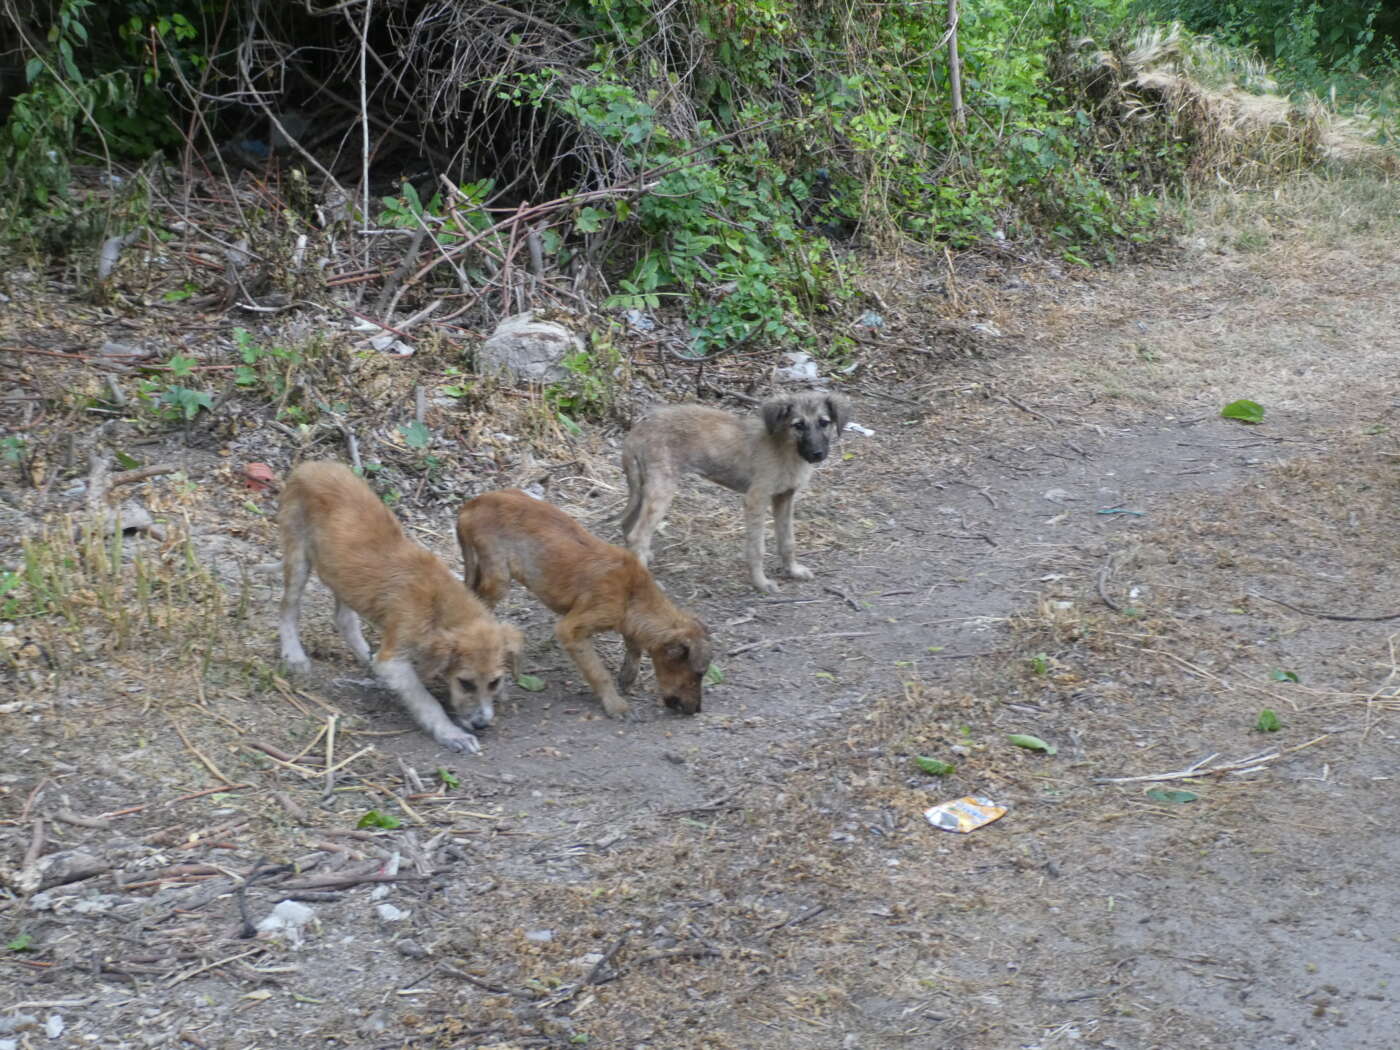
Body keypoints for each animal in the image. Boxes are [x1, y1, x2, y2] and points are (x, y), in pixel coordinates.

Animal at [278, 461, 523, 754]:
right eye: (465, 683)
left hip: (342, 575)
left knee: (343, 618)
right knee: (288, 608)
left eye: (494, 682)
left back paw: (365, 657)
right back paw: (294, 655)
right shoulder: (393, 661)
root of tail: (310, 466)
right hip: (298, 554)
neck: (438, 602)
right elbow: (426, 701)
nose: (481, 724)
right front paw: (451, 733)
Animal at [456, 489, 712, 718]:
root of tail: (472, 504)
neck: (632, 594)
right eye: (698, 674)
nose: (697, 710)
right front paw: (615, 705)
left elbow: (634, 645)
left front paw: (628, 676)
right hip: (497, 578)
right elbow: (599, 672)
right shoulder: (573, 629)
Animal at [620, 391, 849, 593]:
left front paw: (793, 571)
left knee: (628, 526)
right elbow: (757, 548)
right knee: (637, 535)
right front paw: (760, 583)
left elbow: (787, 540)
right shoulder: (756, 499)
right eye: (798, 425)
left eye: (824, 423)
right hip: (661, 490)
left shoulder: (784, 497)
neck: (785, 448)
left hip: (644, 488)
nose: (817, 454)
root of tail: (638, 429)